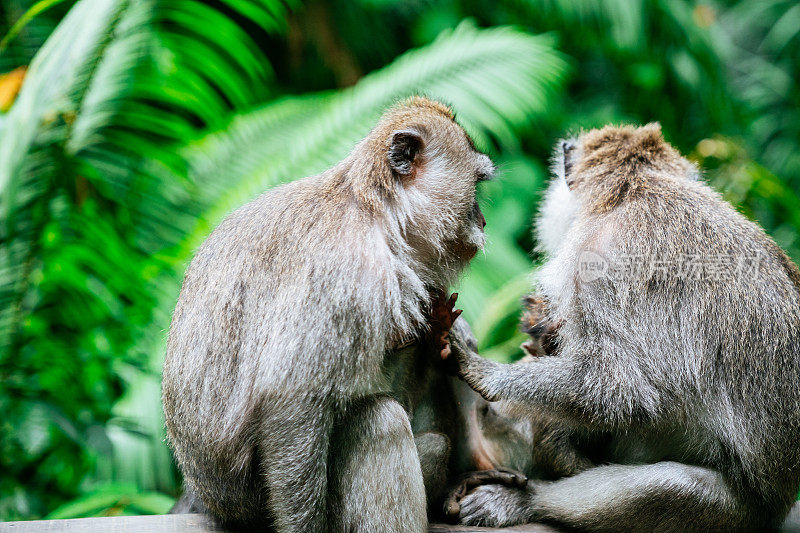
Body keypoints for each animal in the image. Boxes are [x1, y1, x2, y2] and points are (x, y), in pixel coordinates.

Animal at [162, 96, 510, 532]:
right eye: (475, 186)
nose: (482, 219)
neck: (378, 215)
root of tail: (208, 498)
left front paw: (445, 335)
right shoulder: (346, 274)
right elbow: (290, 399)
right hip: (254, 503)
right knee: (380, 421)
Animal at [444, 123, 800, 528]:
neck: (634, 187)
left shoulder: (597, 263)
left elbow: (626, 391)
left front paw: (487, 373)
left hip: (735, 512)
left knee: (672, 487)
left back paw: (529, 499)